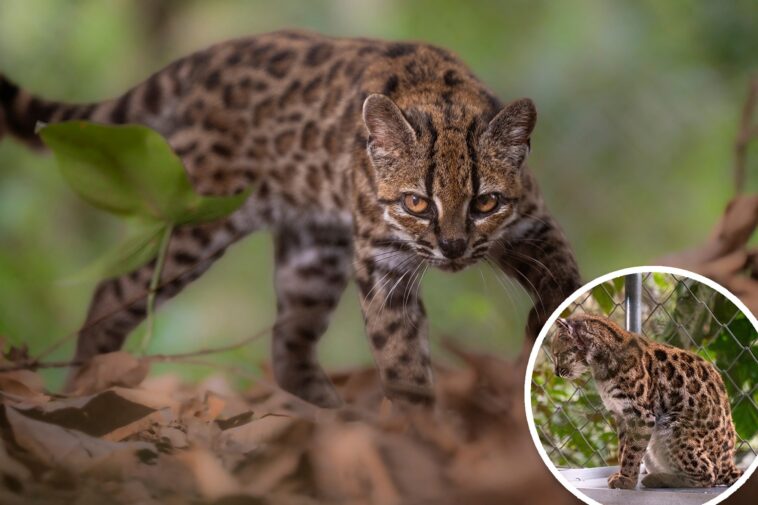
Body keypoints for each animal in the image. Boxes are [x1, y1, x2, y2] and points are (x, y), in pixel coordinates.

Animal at [0, 29, 581, 408]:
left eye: (485, 203)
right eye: (416, 203)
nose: (454, 248)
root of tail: (213, 55)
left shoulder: (532, 223)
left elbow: (564, 278)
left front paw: (546, 323)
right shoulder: (382, 268)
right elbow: (402, 358)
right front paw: (422, 430)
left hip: (312, 257)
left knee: (287, 343)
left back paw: (331, 416)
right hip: (196, 219)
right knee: (114, 292)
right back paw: (81, 386)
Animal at [551, 314, 743, 489]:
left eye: (557, 354)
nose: (556, 373)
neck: (600, 364)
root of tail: (728, 464)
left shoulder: (640, 415)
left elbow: (632, 451)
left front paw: (626, 479)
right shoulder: (620, 415)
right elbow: (624, 449)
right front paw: (623, 474)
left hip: (673, 426)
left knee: (708, 475)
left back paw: (657, 479)